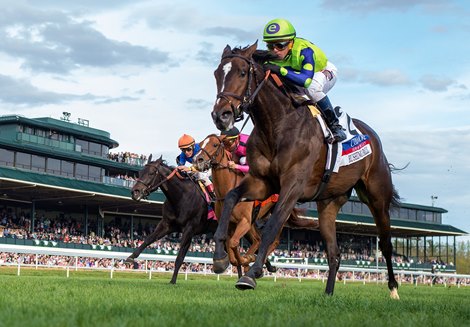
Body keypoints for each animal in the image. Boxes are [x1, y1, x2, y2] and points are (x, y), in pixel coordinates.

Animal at [209, 41, 400, 300]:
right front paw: (219, 257)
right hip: (328, 204)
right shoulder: (260, 182)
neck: (277, 125)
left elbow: (272, 226)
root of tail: (371, 135)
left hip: (378, 197)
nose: (221, 115)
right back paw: (328, 294)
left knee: (386, 243)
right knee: (334, 253)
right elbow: (230, 198)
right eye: (217, 74)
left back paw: (393, 289)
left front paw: (252, 274)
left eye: (241, 72)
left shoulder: (293, 187)